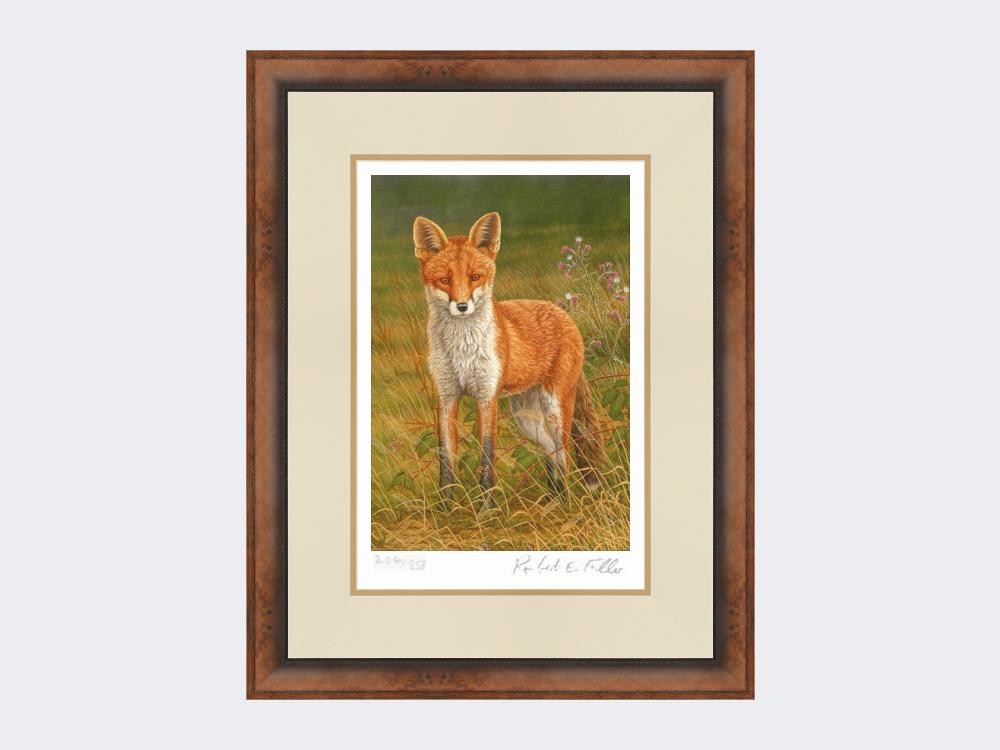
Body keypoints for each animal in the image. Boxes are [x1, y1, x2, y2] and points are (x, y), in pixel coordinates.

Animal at [413, 211, 605, 506]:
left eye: (475, 277)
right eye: (444, 280)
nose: (462, 306)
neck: (461, 350)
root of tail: (563, 314)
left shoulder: (486, 397)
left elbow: (487, 457)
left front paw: (486, 509)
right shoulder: (447, 396)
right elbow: (446, 459)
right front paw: (445, 508)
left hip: (555, 410)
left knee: (565, 454)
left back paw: (565, 504)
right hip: (527, 418)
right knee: (551, 452)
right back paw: (553, 501)